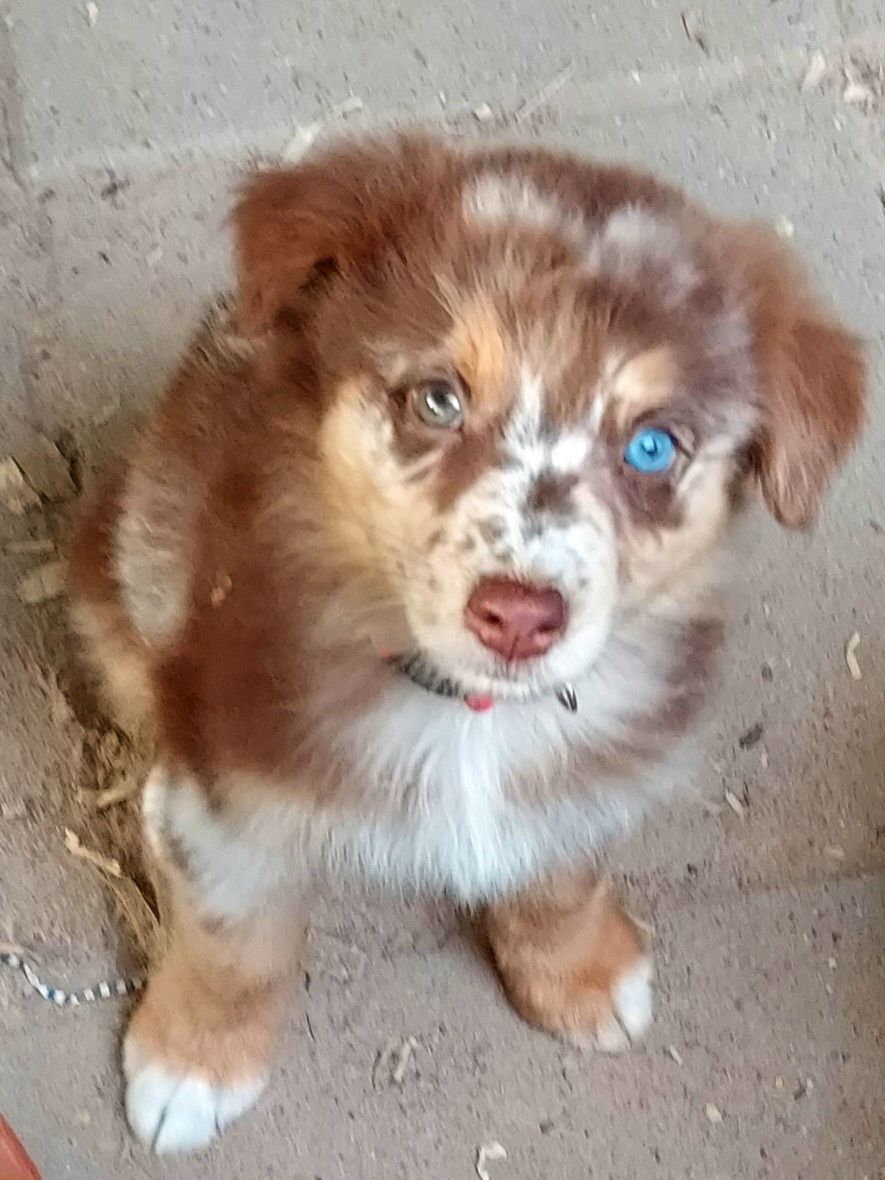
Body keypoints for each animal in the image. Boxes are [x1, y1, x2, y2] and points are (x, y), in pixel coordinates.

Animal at [69, 131, 868, 1151]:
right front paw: (193, 1063)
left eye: (652, 446)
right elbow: (233, 941)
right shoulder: (229, 796)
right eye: (438, 401)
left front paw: (579, 973)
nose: (519, 615)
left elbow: (563, 879)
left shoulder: (590, 775)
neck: (473, 717)